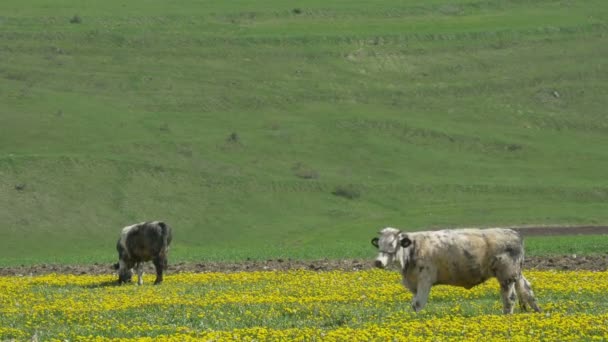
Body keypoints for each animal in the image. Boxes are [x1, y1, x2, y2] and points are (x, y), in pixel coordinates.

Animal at [370, 226, 540, 314]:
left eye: (393, 245)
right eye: (379, 245)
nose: (378, 262)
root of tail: (513, 232)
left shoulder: (425, 279)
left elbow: (418, 303)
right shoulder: (414, 284)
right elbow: (415, 303)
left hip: (506, 275)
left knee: (510, 298)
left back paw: (506, 316)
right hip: (516, 273)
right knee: (526, 289)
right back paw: (537, 311)